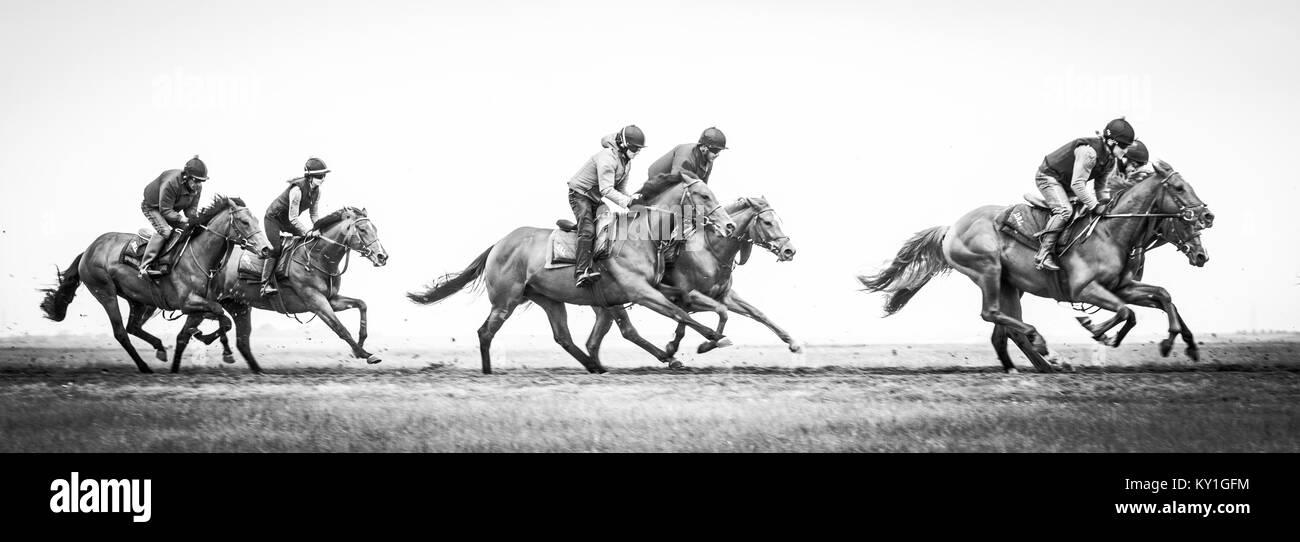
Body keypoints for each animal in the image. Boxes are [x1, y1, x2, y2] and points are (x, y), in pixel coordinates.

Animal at [38, 196, 271, 374]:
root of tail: (88, 250)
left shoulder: (200, 303)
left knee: (133, 327)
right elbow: (221, 316)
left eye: (256, 220)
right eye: (244, 222)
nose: (266, 249)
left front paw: (213, 343)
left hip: (140, 300)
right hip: (105, 291)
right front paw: (210, 341)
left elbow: (221, 320)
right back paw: (144, 366)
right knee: (121, 332)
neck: (200, 255)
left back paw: (159, 347)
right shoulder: (188, 302)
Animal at [208, 204, 387, 371]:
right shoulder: (317, 302)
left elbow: (361, 304)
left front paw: (359, 348)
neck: (316, 258)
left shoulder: (331, 299)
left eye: (375, 229)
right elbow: (340, 329)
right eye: (362, 229)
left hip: (239, 306)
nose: (382, 256)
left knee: (242, 341)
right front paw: (366, 355)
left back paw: (255, 369)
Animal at [405, 171, 738, 374]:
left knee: (563, 337)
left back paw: (596, 367)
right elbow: (679, 312)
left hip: (549, 299)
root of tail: (499, 244)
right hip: (505, 300)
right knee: (486, 332)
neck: (642, 235)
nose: (730, 225)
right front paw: (708, 339)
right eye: (704, 196)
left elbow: (703, 305)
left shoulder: (653, 289)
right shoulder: (640, 292)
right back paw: (488, 373)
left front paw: (707, 339)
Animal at [582, 194, 800, 366]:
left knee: (596, 338)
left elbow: (757, 313)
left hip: (605, 305)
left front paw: (792, 342)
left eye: (779, 220)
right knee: (627, 331)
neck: (711, 251)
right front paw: (699, 345)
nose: (789, 251)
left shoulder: (723, 295)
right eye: (767, 222)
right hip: (618, 300)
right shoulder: (692, 295)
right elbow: (716, 315)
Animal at [857, 161, 1211, 371]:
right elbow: (1127, 312)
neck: (1112, 231)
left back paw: (1038, 365)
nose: (1207, 216)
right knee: (995, 316)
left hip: (1009, 284)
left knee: (1004, 330)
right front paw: (1096, 330)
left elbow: (1162, 296)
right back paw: (1045, 349)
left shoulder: (1122, 286)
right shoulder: (1086, 289)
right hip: (988, 270)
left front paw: (1174, 343)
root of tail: (951, 229)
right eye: (1179, 188)